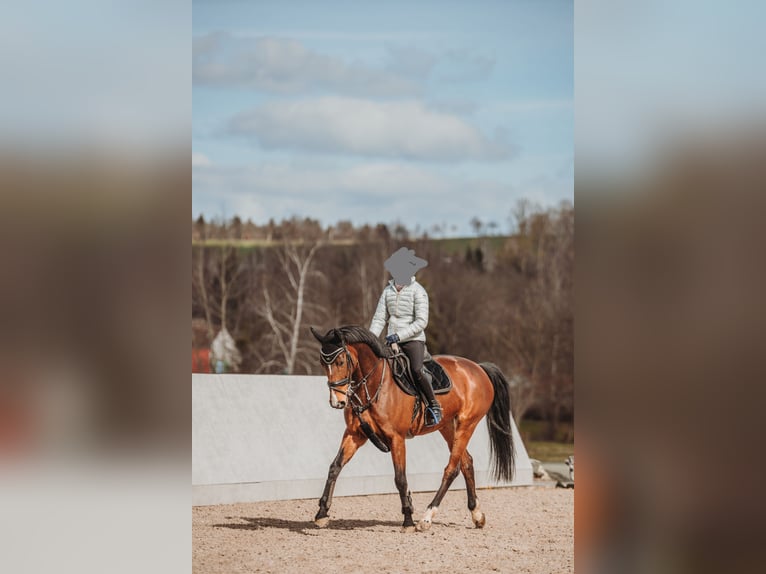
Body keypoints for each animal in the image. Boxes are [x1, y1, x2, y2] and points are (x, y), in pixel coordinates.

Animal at [310, 326, 516, 532]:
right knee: (466, 463)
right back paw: (476, 514)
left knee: (451, 469)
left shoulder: (396, 438)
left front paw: (408, 520)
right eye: (322, 363)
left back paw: (427, 517)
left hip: (467, 425)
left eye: (341, 361)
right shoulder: (355, 434)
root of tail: (479, 368)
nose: (337, 401)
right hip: (448, 427)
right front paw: (321, 514)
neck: (374, 384)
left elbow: (400, 478)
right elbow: (335, 467)